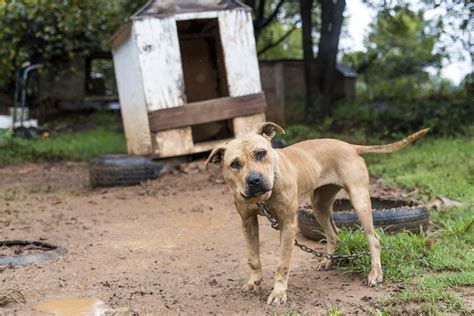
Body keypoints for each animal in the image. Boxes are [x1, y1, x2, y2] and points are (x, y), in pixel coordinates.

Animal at [206, 122, 428, 304]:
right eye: (235, 164)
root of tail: (349, 145)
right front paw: (254, 281)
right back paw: (327, 261)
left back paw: (375, 274)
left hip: (360, 200)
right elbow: (252, 256)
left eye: (261, 153)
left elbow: (282, 264)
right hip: (319, 206)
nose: (254, 180)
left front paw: (278, 293)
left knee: (373, 238)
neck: (264, 198)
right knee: (334, 234)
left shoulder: (288, 225)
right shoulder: (247, 221)